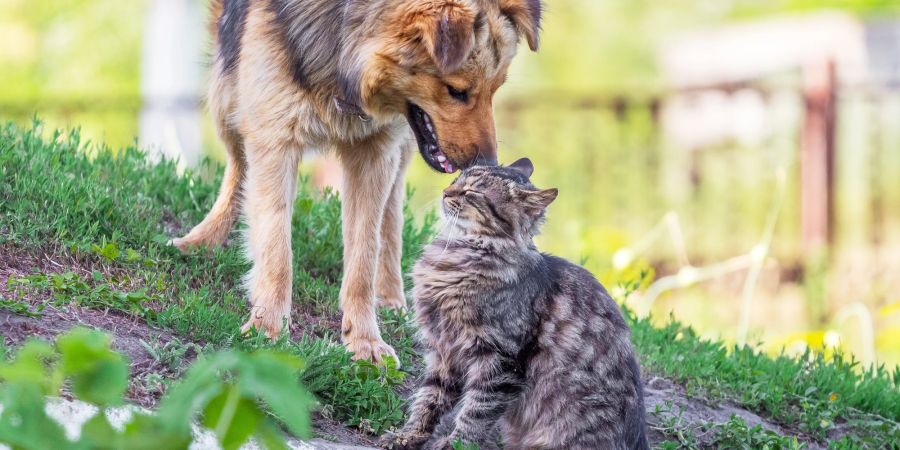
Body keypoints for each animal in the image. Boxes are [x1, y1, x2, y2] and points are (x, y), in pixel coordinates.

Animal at [173, 0, 544, 364]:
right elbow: (276, 247)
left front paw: (364, 341)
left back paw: (391, 297)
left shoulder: (374, 150)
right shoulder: (274, 132)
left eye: (496, 88)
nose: (488, 165)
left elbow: (365, 252)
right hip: (228, 91)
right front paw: (269, 329)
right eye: (457, 91)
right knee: (238, 164)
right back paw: (202, 239)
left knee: (391, 215)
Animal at [380, 158, 648, 450]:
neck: (457, 257)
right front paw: (406, 436)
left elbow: (476, 412)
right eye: (455, 181)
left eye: (471, 192)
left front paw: (455, 444)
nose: (445, 192)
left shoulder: (500, 360)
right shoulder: (444, 351)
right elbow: (427, 401)